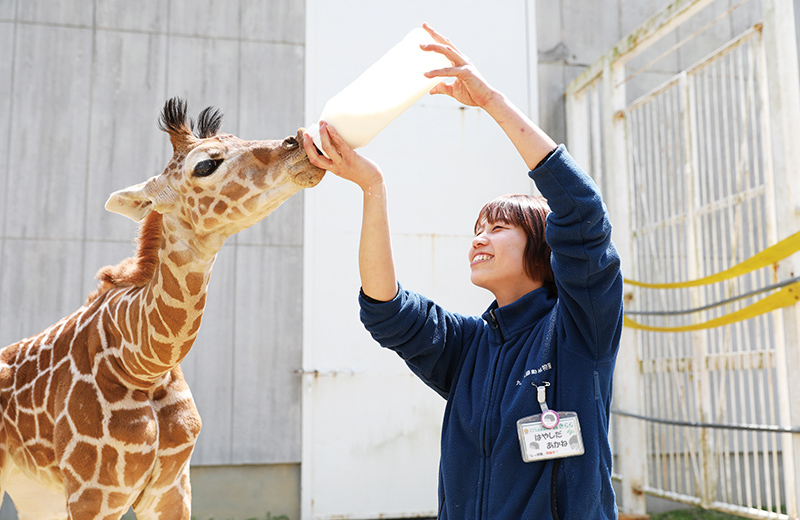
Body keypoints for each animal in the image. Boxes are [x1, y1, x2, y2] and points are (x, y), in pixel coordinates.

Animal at [0, 98, 326, 520]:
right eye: (205, 165)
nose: (299, 143)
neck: (143, 365)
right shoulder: (94, 493)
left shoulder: (172, 488)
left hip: (35, 490)